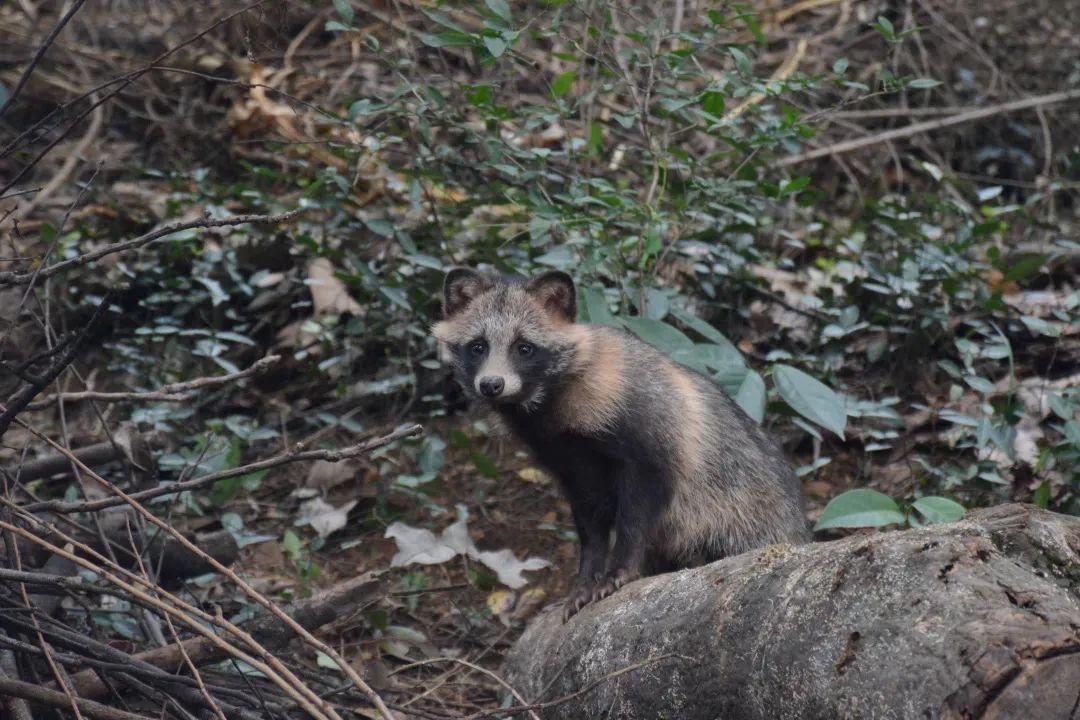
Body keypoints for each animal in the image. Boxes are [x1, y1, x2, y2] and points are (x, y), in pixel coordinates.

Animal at [432, 269, 812, 621]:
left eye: (524, 347)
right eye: (478, 346)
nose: (491, 384)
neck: (548, 404)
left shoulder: (646, 436)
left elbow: (637, 515)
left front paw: (620, 569)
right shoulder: (571, 464)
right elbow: (591, 526)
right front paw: (586, 579)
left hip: (744, 522)